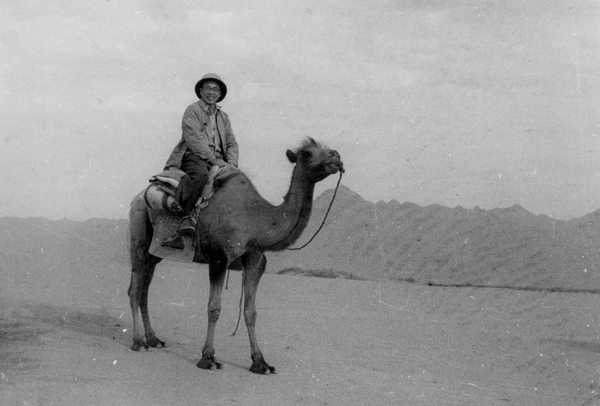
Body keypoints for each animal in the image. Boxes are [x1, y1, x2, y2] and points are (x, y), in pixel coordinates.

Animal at [127, 138, 344, 374]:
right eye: (306, 153)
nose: (336, 156)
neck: (256, 219)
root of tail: (138, 197)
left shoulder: (255, 260)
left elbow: (250, 311)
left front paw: (260, 362)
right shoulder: (218, 257)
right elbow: (214, 308)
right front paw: (208, 358)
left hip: (154, 253)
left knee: (145, 289)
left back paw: (153, 339)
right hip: (139, 234)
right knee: (135, 289)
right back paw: (138, 342)